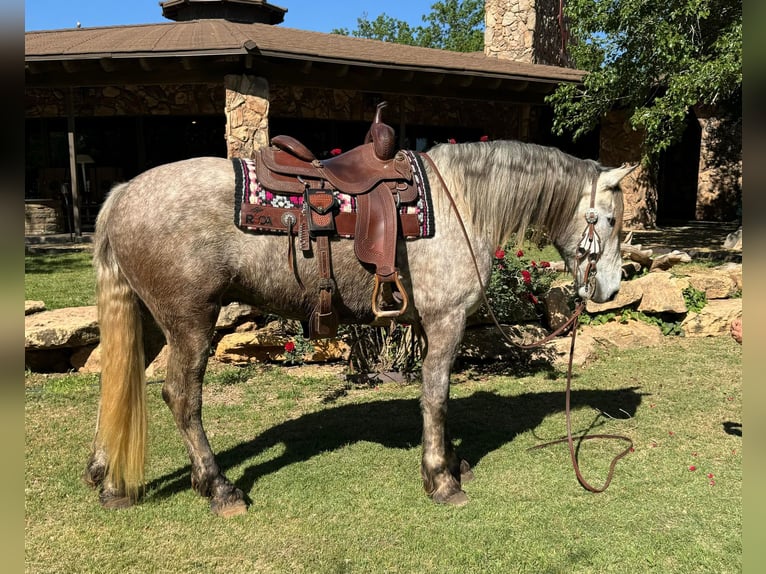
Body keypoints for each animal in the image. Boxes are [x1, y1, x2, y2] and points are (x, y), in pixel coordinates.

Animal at [82, 140, 636, 516]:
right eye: (610, 220)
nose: (609, 290)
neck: (461, 202)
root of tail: (124, 193)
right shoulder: (447, 319)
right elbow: (437, 396)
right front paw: (441, 479)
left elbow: (437, 398)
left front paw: (452, 461)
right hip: (191, 321)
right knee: (181, 397)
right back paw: (219, 488)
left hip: (149, 320)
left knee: (120, 382)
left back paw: (109, 481)